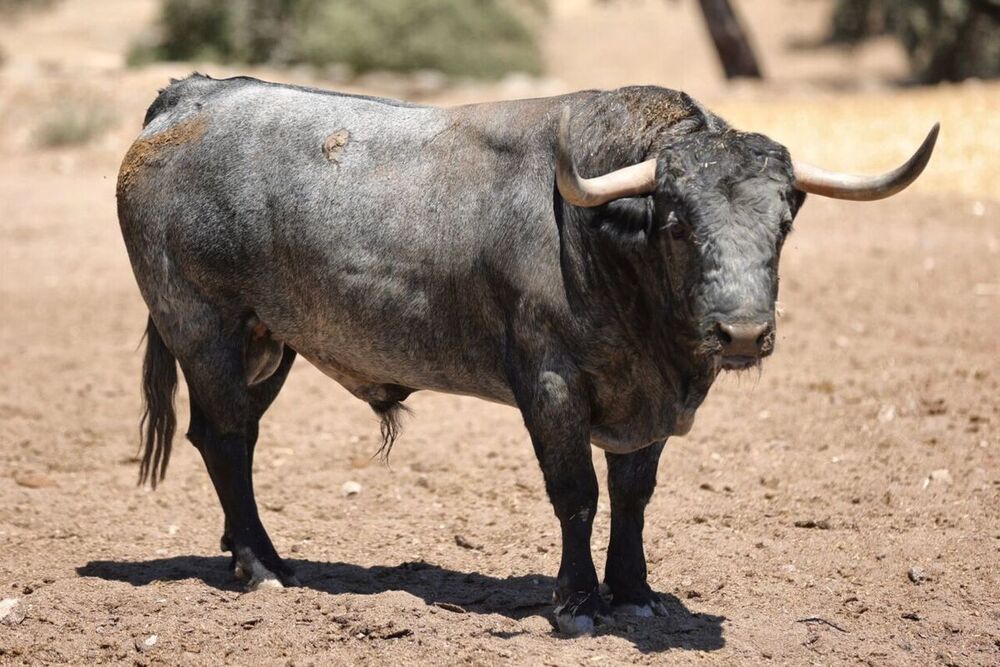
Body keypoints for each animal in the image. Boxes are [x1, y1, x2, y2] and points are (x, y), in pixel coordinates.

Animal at [117, 75, 936, 636]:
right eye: (676, 221)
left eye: (785, 217)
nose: (739, 333)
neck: (602, 242)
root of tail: (188, 97)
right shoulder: (550, 385)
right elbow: (577, 494)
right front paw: (576, 602)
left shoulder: (645, 408)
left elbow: (633, 497)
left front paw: (634, 593)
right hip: (205, 329)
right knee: (227, 438)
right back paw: (262, 568)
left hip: (267, 343)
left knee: (229, 438)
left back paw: (243, 550)